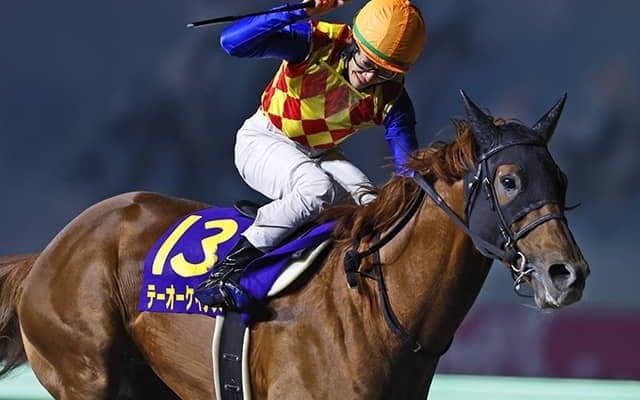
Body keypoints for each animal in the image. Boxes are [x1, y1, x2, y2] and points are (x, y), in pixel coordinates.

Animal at [0, 92, 589, 399]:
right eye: (510, 180)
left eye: (561, 180)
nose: (568, 274)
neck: (376, 307)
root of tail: (49, 254)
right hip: (85, 373)